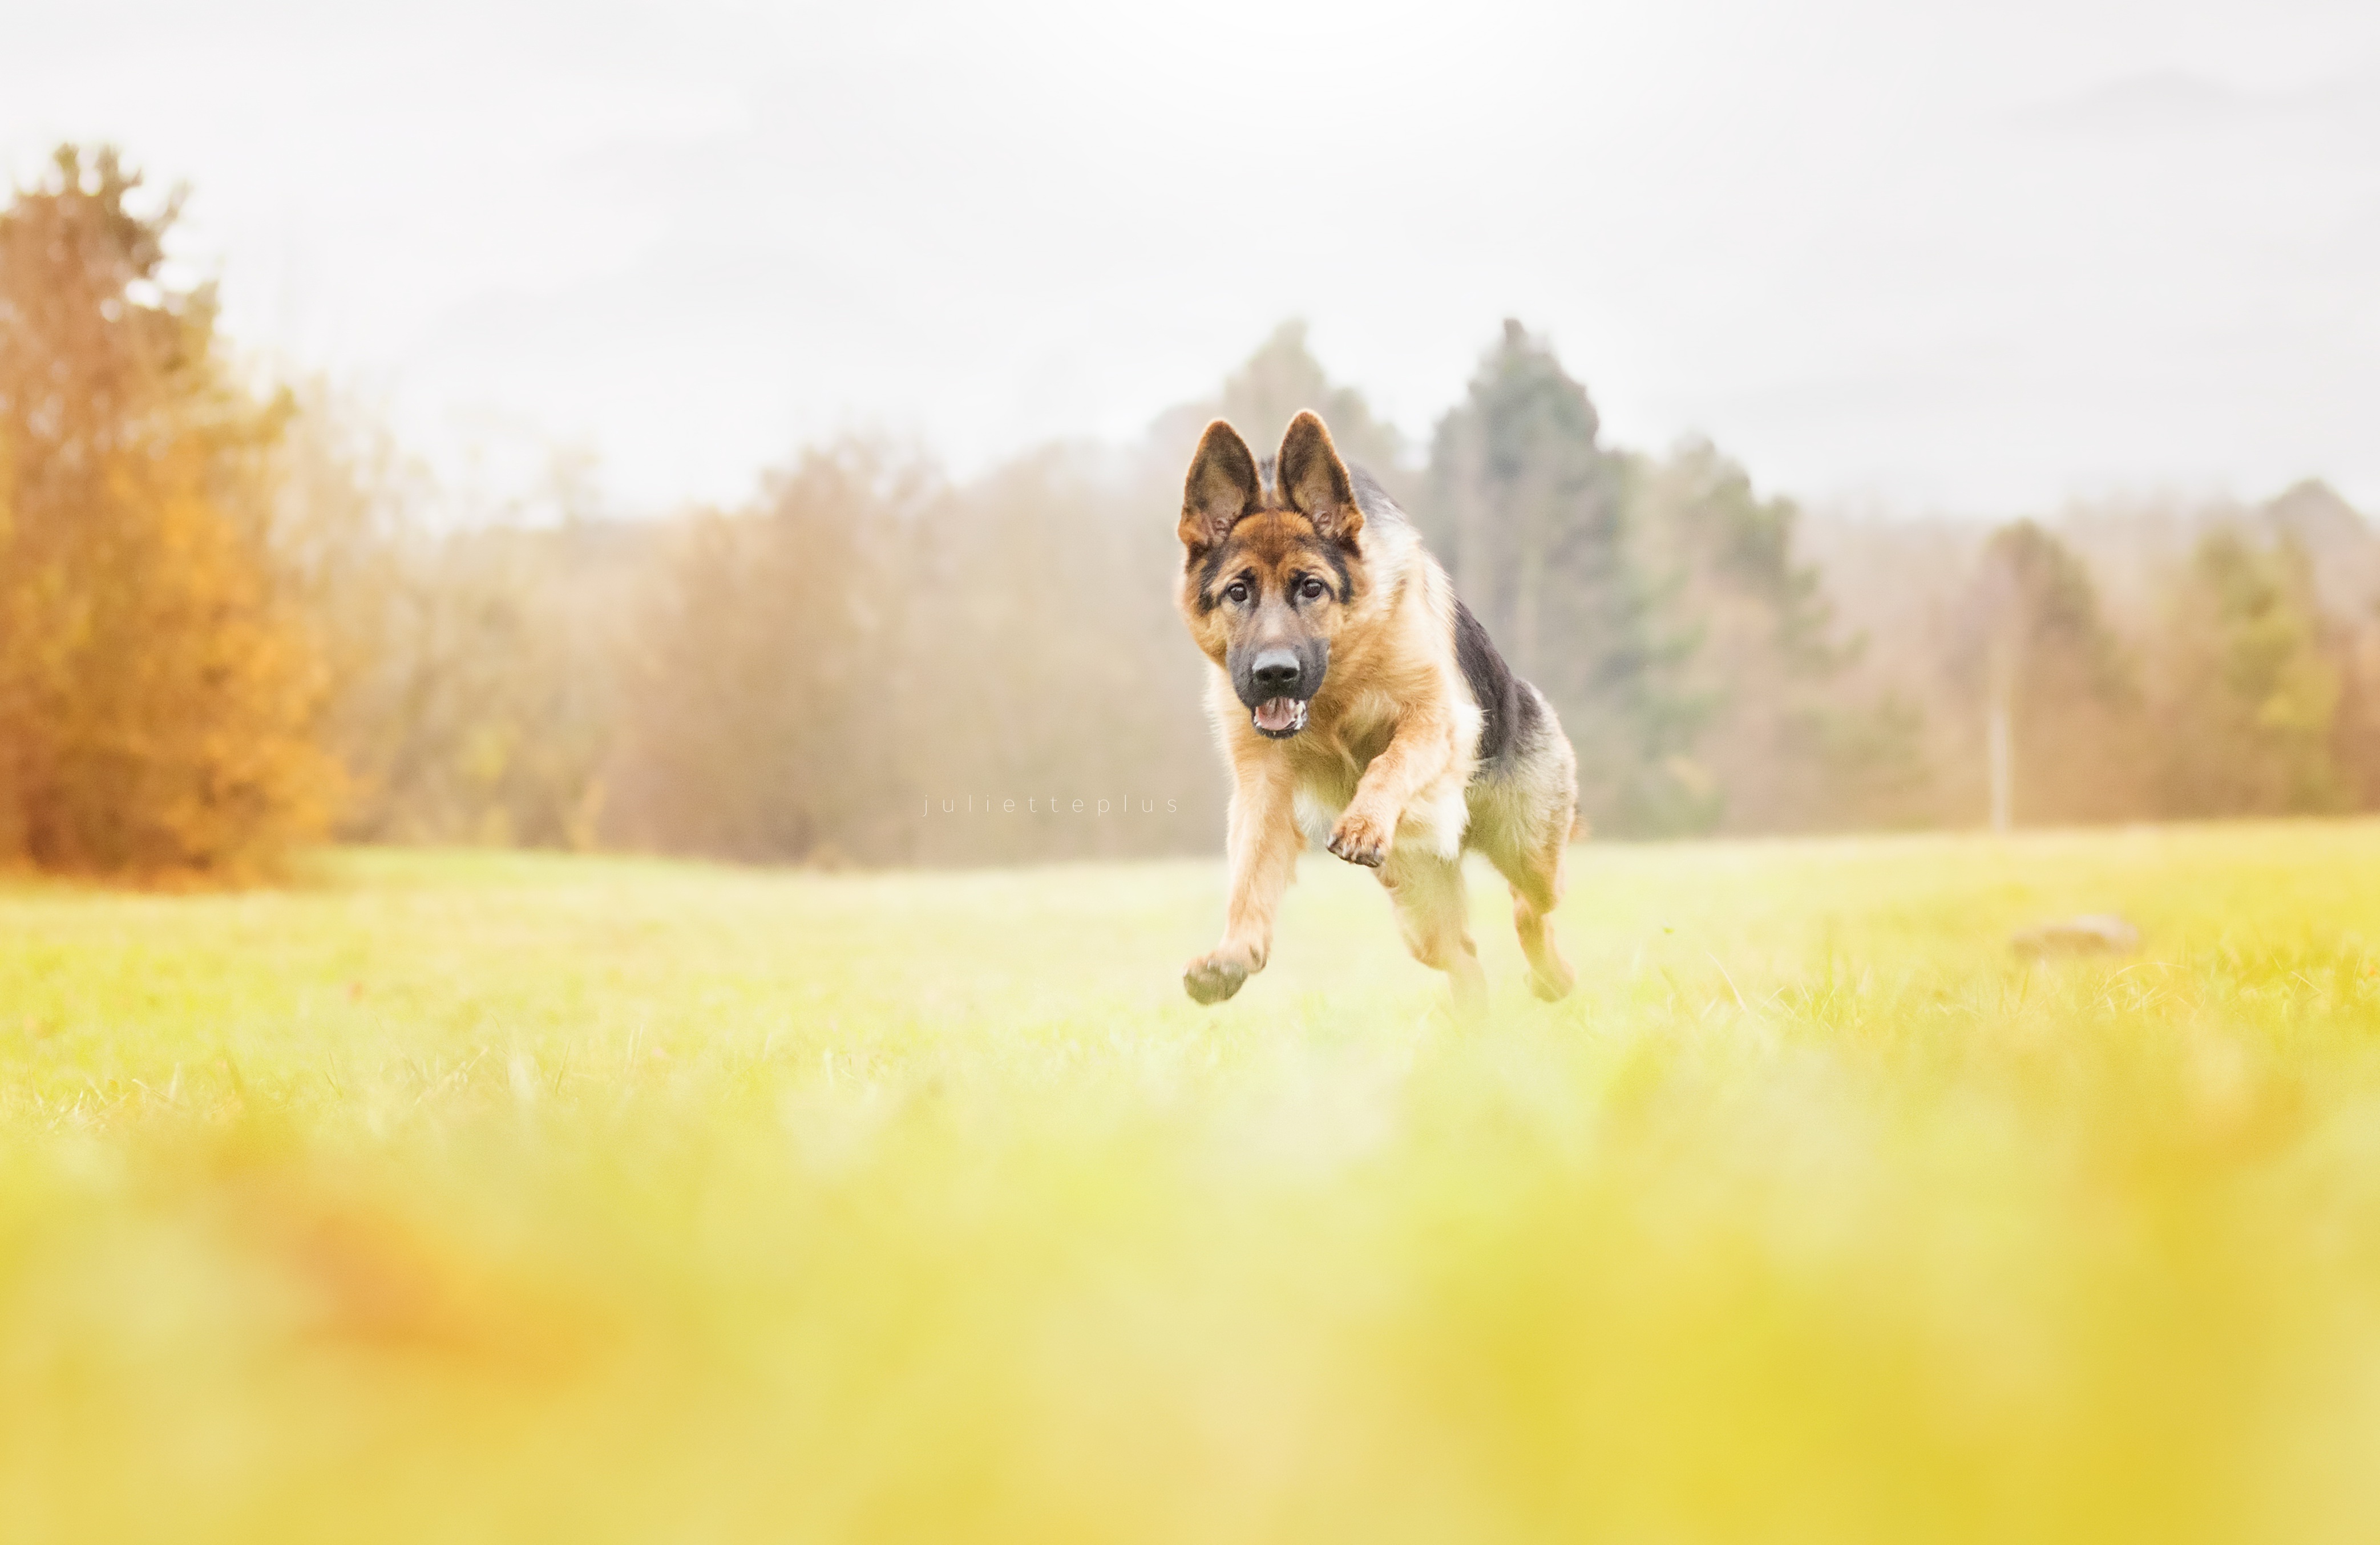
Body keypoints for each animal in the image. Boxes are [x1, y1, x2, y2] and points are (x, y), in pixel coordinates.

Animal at [1175, 409, 1580, 1014]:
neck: (1334, 691)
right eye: (1238, 592)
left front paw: (1365, 821)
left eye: (1311, 587)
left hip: (1530, 853)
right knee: (1462, 959)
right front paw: (1233, 954)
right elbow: (1248, 874)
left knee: (1531, 907)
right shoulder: (1263, 785)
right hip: (1419, 910)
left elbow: (1392, 760)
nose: (1273, 673)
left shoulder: (1434, 718)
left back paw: (1554, 979)